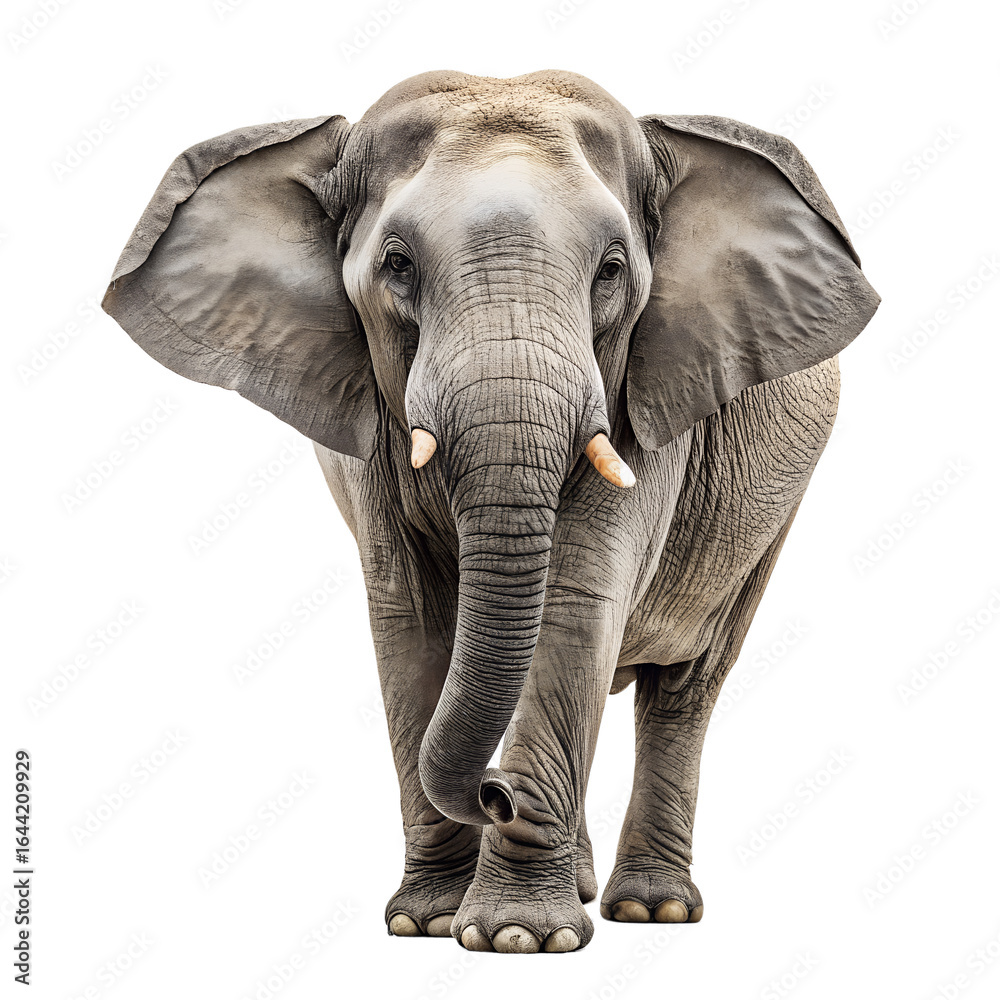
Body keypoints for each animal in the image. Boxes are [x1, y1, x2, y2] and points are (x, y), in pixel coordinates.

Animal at [102, 69, 879, 954]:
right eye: (397, 266)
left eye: (611, 271)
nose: (496, 793)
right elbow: (411, 619)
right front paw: (431, 922)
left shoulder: (645, 389)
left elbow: (576, 599)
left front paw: (519, 938)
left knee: (687, 687)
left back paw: (652, 910)